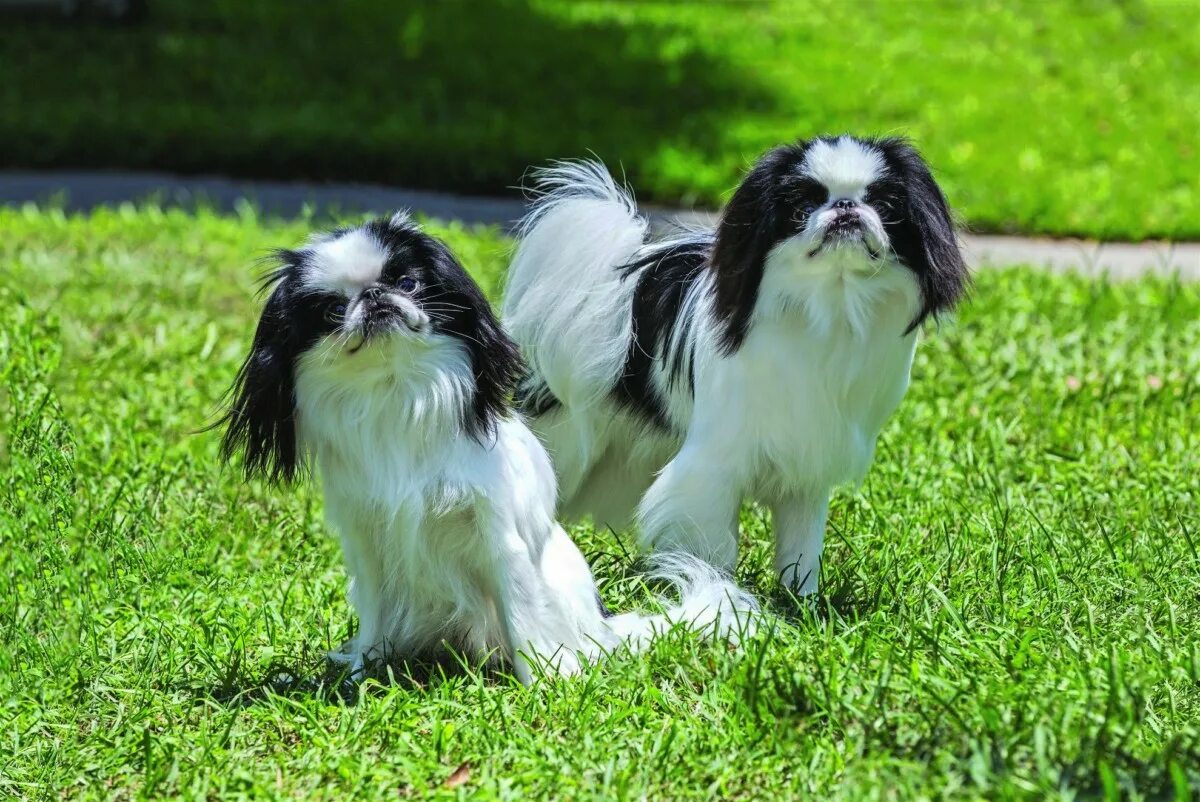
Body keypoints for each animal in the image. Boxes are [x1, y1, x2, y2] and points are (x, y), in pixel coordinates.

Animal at [220, 211, 753, 681]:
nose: (374, 296)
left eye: (407, 283)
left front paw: (542, 681)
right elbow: (374, 618)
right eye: (332, 311)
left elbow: (521, 617)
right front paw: (360, 675)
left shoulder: (500, 539)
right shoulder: (368, 544)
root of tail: (605, 626)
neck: (397, 392)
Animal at [501, 134, 969, 593]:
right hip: (568, 441)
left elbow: (802, 547)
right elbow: (713, 543)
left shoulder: (808, 468)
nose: (845, 207)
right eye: (800, 210)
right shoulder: (713, 466)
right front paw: (714, 591)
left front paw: (802, 603)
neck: (831, 307)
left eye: (886, 208)